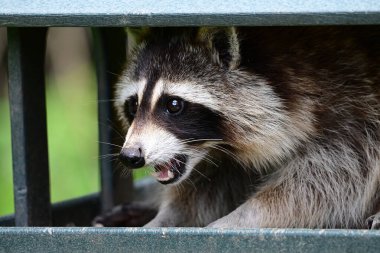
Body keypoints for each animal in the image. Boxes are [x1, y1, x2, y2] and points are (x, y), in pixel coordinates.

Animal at [104, 26, 380, 228]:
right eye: (134, 104)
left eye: (173, 105)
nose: (130, 156)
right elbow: (208, 188)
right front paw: (164, 219)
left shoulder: (353, 107)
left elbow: (330, 182)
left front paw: (240, 219)